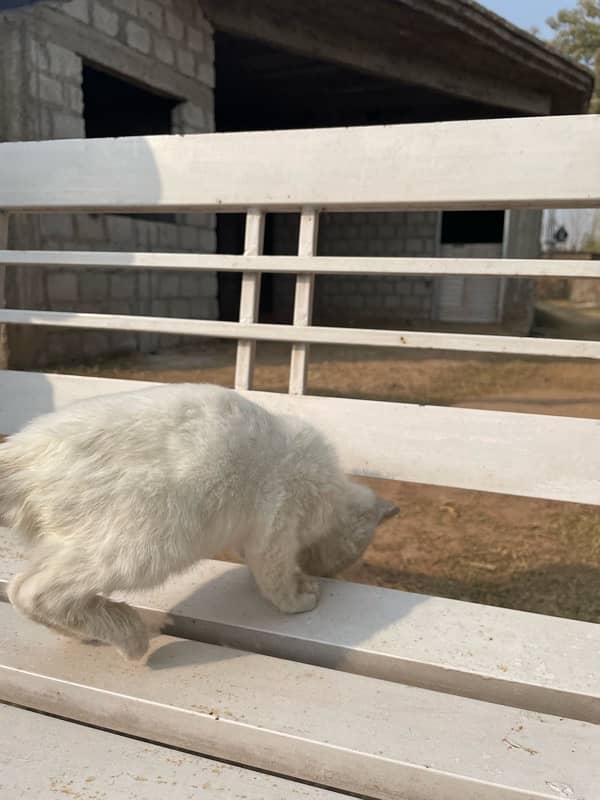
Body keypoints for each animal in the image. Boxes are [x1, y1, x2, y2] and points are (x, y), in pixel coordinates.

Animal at [1, 384, 398, 660]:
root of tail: (23, 450)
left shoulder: (252, 536)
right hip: (146, 546)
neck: (331, 490)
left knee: (24, 590)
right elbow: (277, 583)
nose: (328, 575)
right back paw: (129, 636)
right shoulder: (276, 528)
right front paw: (302, 595)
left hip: (77, 546)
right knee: (31, 591)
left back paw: (92, 632)